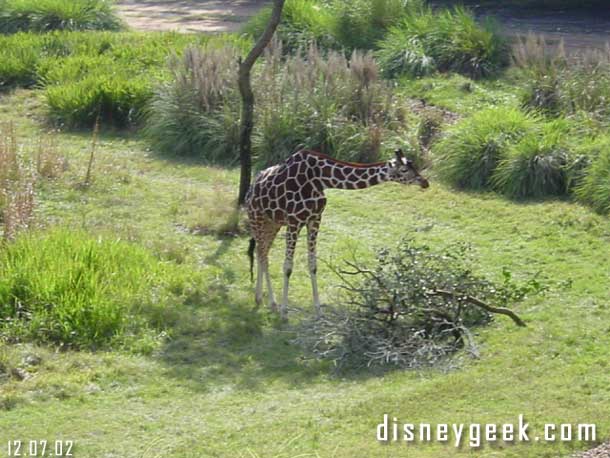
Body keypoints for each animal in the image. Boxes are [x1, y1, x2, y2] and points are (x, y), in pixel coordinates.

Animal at [243, 148, 428, 320]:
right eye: (404, 169)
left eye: (413, 165)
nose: (425, 182)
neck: (320, 179)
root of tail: (250, 188)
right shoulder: (294, 221)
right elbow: (288, 267)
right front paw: (284, 313)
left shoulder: (315, 219)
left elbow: (313, 265)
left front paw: (318, 312)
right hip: (257, 218)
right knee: (262, 255)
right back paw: (270, 302)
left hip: (273, 223)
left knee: (261, 253)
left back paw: (262, 300)